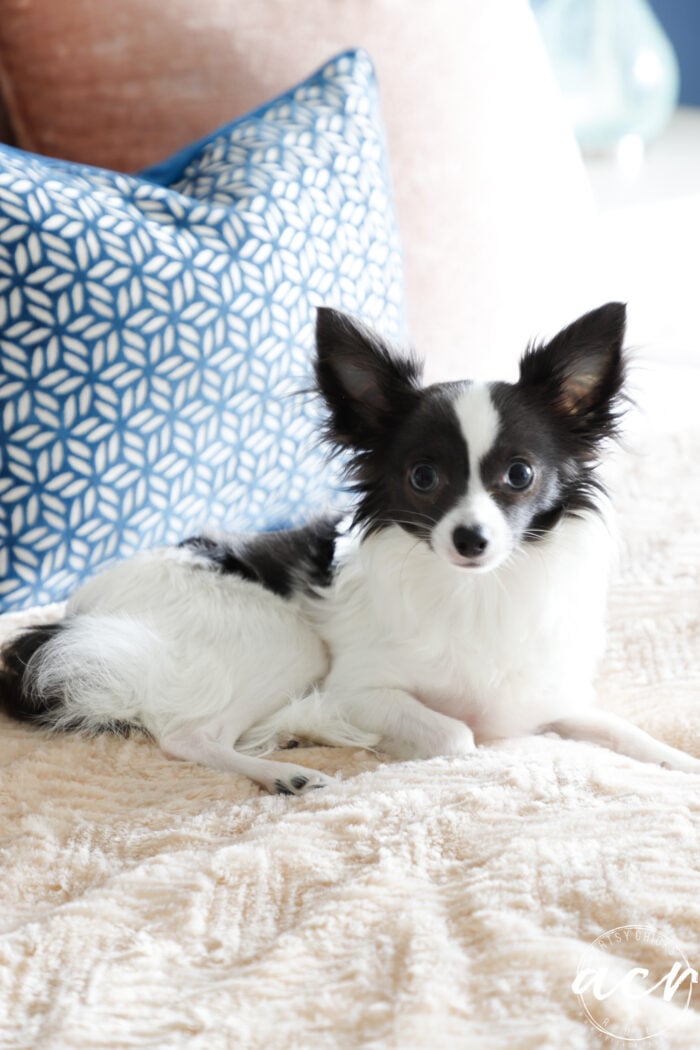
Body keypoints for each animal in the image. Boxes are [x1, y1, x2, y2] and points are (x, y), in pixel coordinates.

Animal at [2, 300, 696, 789]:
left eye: (520, 475)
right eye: (424, 478)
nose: (470, 539)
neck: (473, 591)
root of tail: (77, 615)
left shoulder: (547, 696)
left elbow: (624, 731)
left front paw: (678, 764)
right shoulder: (360, 691)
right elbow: (458, 736)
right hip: (286, 643)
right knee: (186, 736)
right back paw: (287, 770)